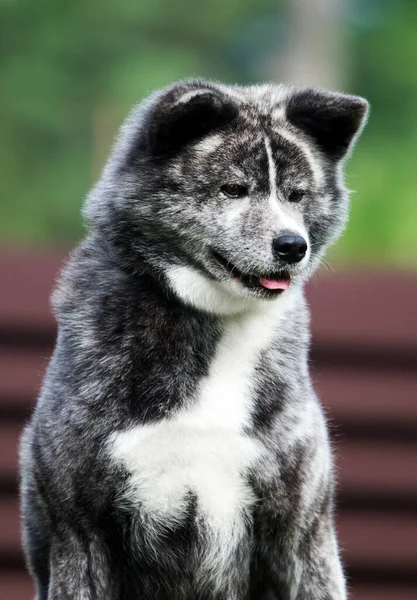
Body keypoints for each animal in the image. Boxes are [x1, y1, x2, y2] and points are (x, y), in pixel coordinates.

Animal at [20, 79, 368, 600]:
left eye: (297, 194)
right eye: (233, 189)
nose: (292, 246)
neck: (217, 323)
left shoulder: (301, 535)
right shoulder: (81, 537)